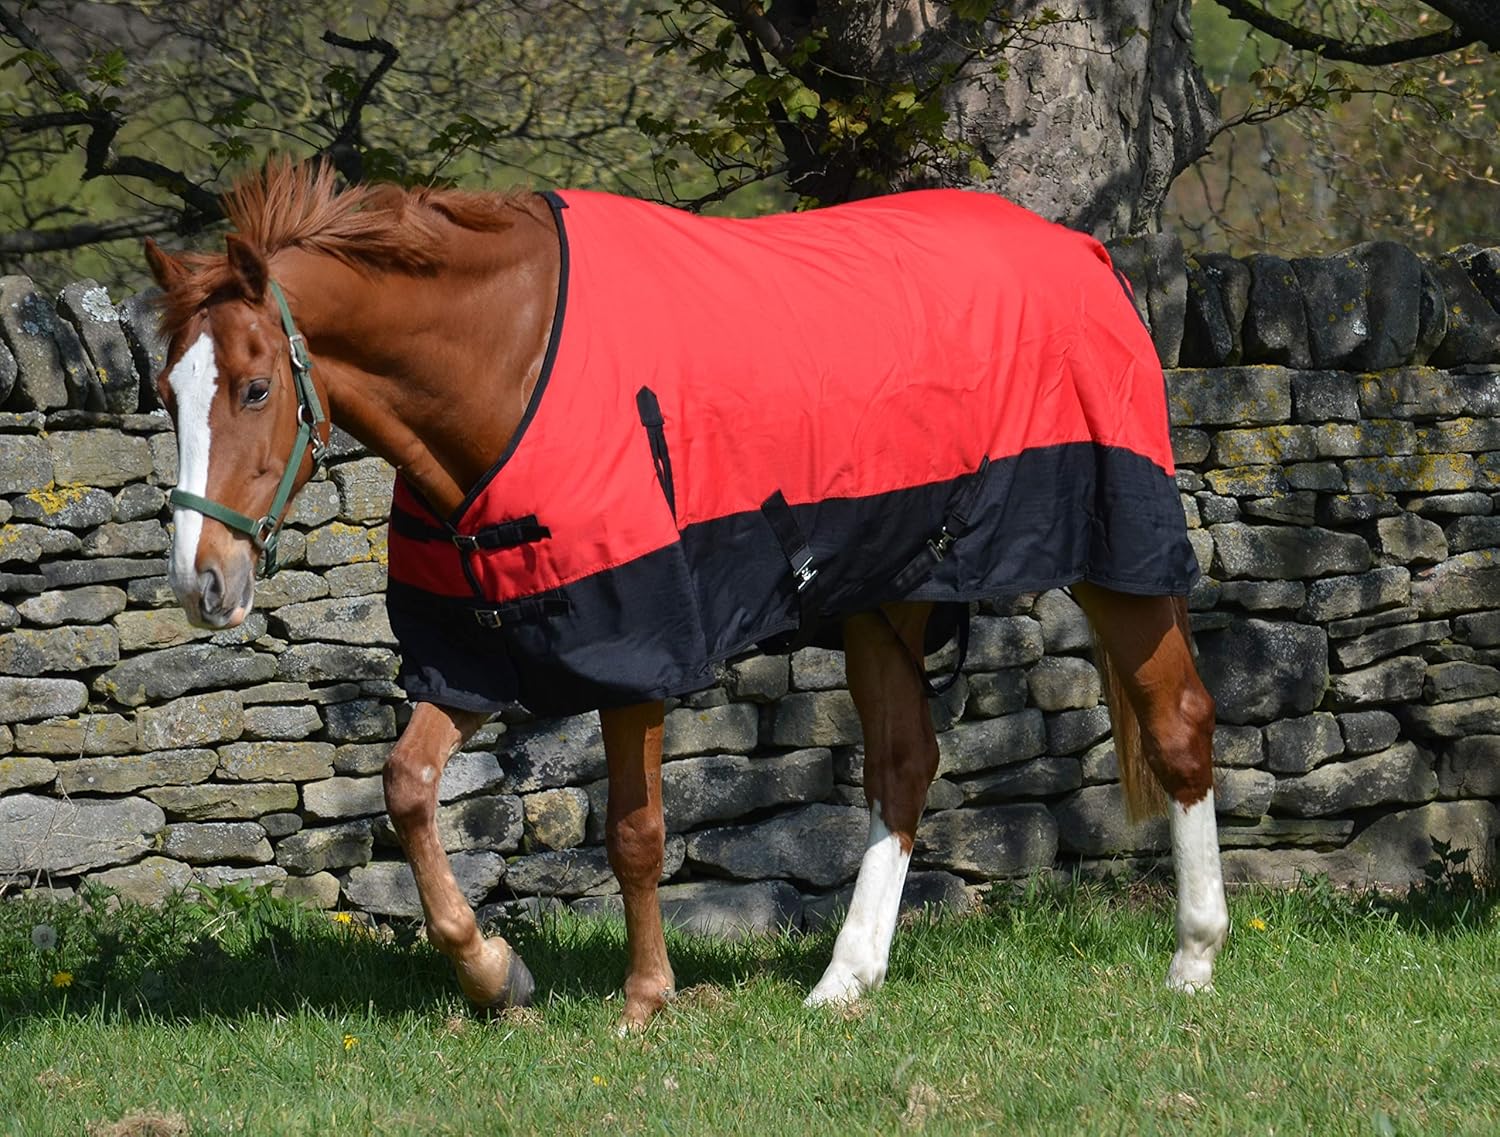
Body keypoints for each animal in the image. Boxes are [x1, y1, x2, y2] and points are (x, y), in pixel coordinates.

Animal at [144, 159, 1228, 1030]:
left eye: (253, 388)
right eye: (165, 393)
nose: (203, 582)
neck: (508, 366)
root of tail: (1086, 254)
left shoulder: (637, 652)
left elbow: (635, 833)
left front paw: (644, 1000)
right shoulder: (477, 653)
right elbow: (406, 787)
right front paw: (497, 976)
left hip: (1114, 554)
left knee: (1178, 722)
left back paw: (1194, 959)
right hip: (889, 593)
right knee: (904, 766)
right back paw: (845, 981)